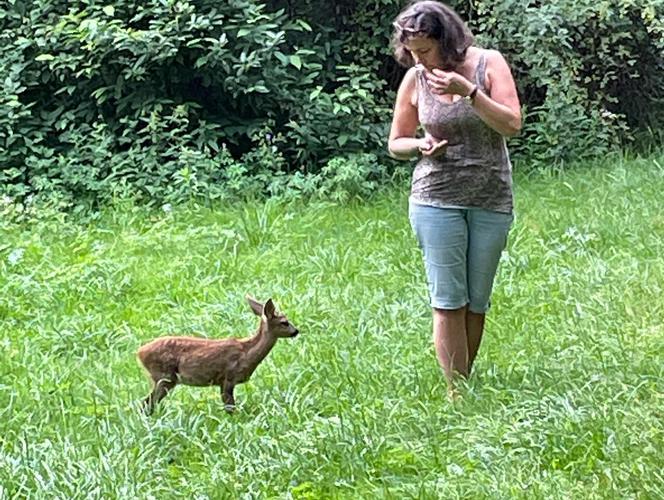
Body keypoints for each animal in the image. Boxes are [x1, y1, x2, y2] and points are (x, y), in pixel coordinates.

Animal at [137, 294, 298, 416]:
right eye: (284, 322)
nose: (296, 331)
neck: (246, 353)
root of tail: (139, 352)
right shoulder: (228, 377)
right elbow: (230, 408)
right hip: (164, 376)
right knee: (147, 403)